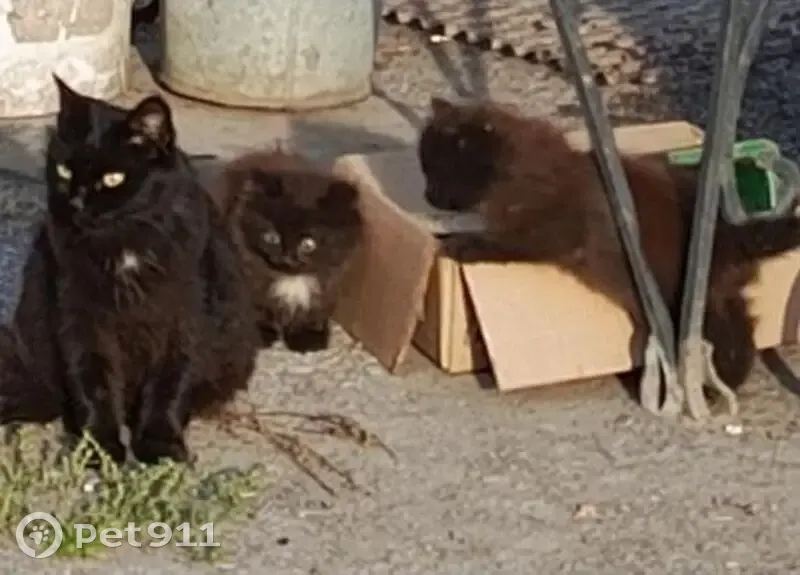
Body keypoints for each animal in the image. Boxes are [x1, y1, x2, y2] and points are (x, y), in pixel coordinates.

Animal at [0, 76, 261, 465]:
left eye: (112, 178)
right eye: (64, 170)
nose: (76, 203)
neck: (124, 245)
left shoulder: (185, 317)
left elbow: (171, 384)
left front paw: (161, 446)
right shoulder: (79, 315)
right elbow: (94, 383)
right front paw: (100, 448)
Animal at [212, 147, 364, 353]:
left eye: (308, 244)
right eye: (272, 238)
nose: (287, 257)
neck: (292, 279)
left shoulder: (330, 280)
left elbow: (314, 309)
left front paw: (308, 338)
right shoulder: (249, 274)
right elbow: (258, 307)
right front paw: (262, 335)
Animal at [417, 96, 800, 396]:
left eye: (437, 173)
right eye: (427, 173)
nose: (427, 196)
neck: (513, 167)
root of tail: (727, 230)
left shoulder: (549, 229)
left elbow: (506, 242)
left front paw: (462, 246)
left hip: (685, 301)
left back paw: (715, 387)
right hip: (719, 294)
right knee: (742, 326)